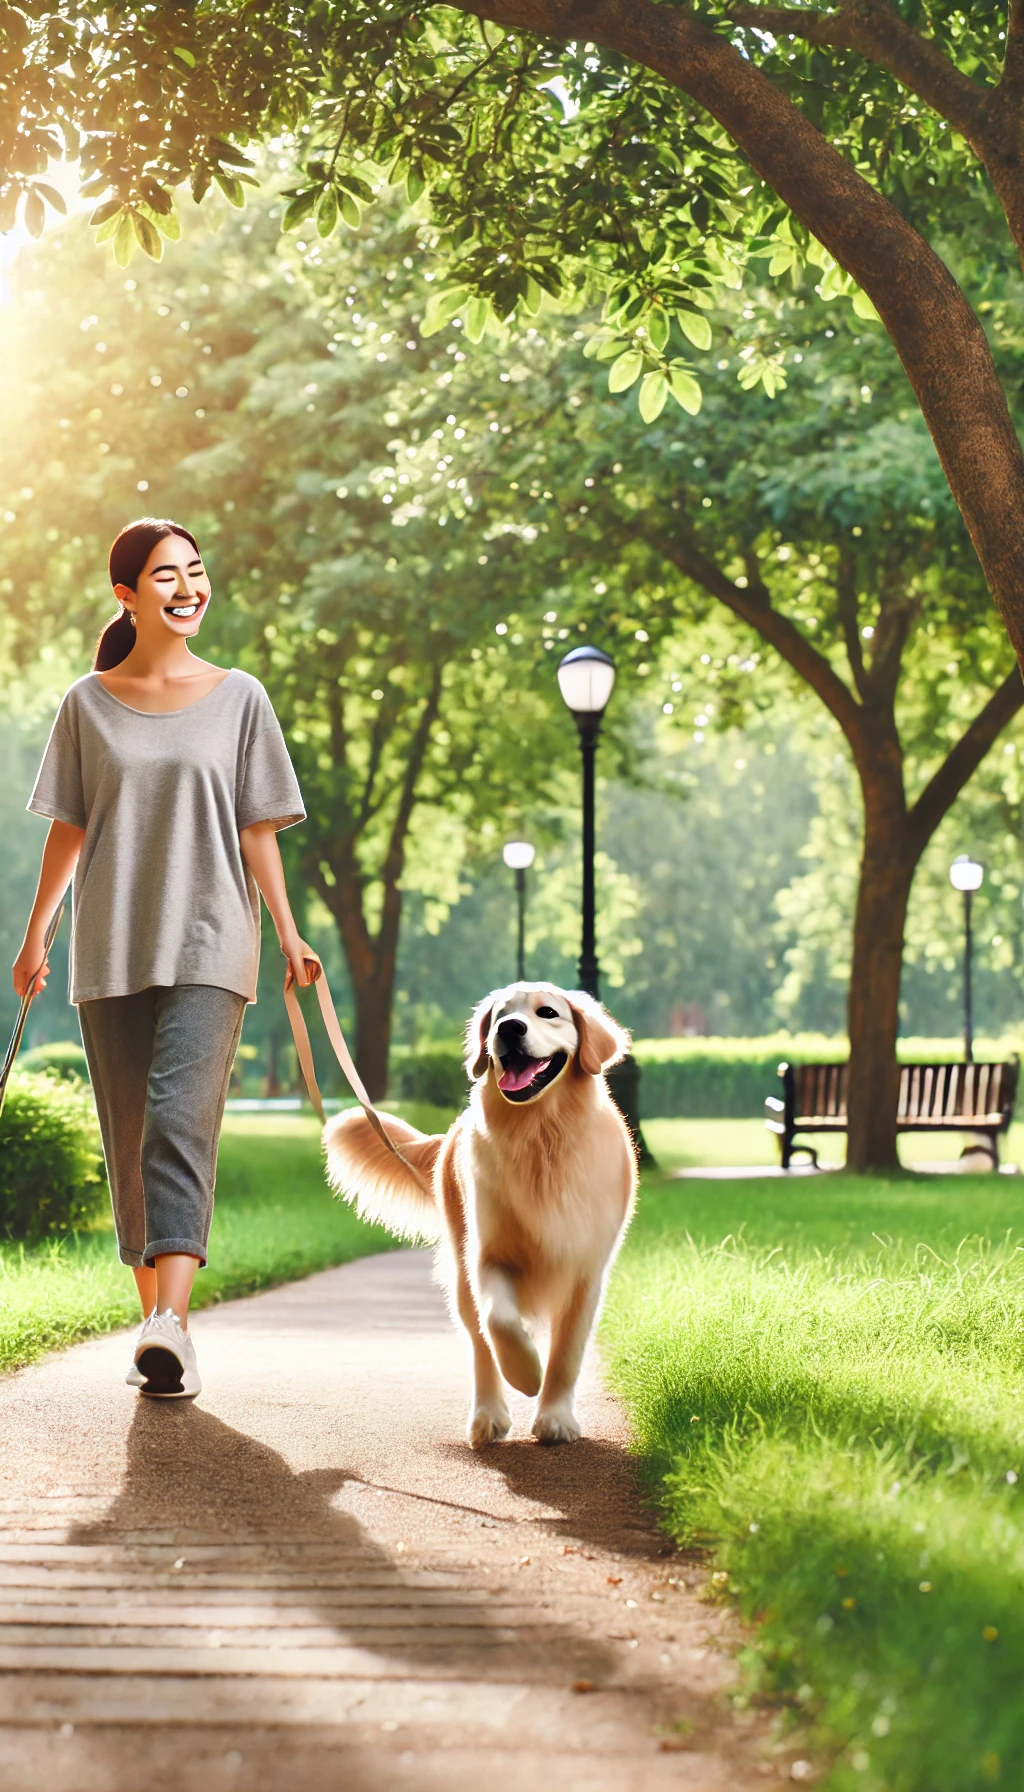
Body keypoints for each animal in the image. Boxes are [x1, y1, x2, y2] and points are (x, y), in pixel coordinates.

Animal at [324, 989, 638, 1447]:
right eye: (500, 1014)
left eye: (548, 1012)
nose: (509, 1029)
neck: (539, 1136)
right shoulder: (487, 1256)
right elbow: (499, 1321)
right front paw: (525, 1372)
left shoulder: (586, 1271)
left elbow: (567, 1353)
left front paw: (555, 1417)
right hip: (459, 1274)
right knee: (479, 1343)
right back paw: (487, 1416)